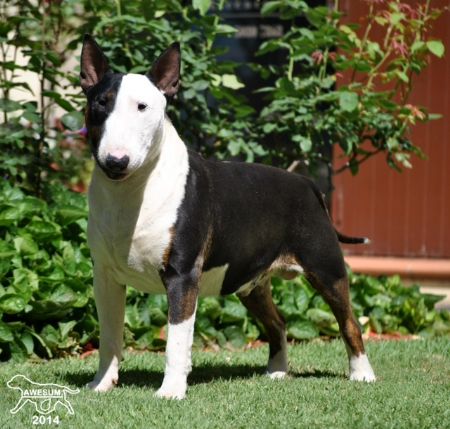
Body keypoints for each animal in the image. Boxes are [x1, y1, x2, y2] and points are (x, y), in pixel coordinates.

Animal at [81, 35, 376, 400]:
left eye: (143, 107)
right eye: (101, 102)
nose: (116, 160)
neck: (131, 191)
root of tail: (307, 183)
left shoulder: (182, 275)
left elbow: (176, 339)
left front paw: (171, 391)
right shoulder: (105, 277)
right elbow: (109, 335)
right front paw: (101, 384)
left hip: (325, 268)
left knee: (350, 321)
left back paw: (362, 374)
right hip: (250, 282)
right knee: (278, 322)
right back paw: (277, 372)